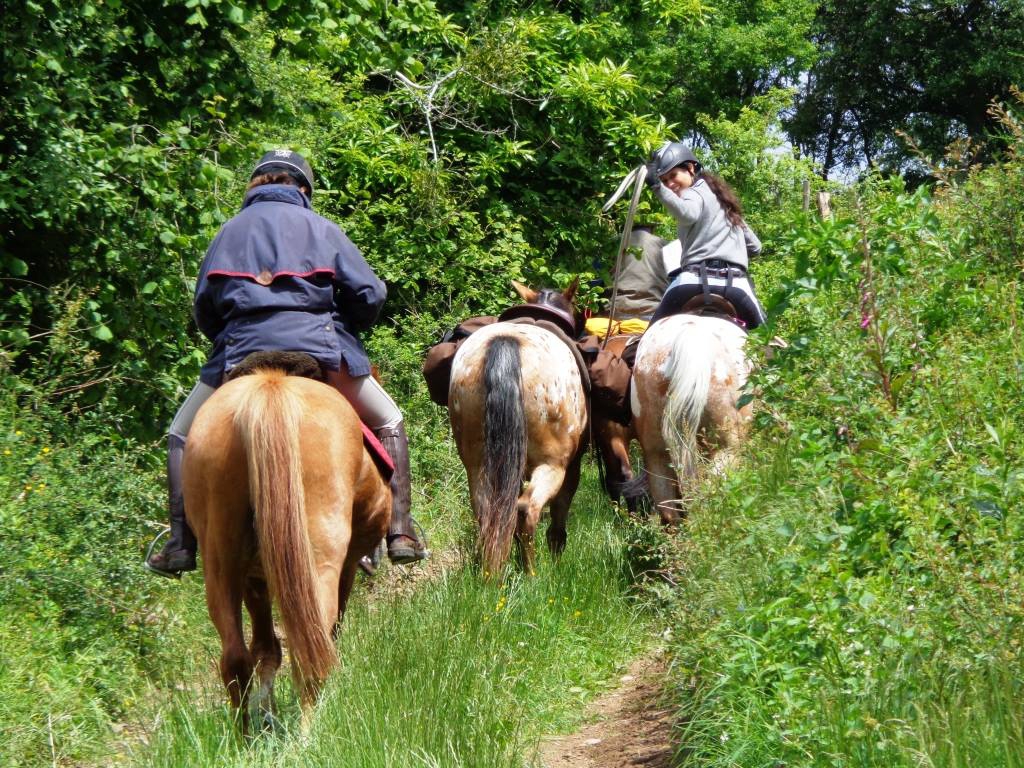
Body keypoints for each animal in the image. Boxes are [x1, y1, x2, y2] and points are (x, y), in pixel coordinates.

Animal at [182, 357, 391, 728]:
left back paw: (245, 737)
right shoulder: (348, 565)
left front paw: (268, 714)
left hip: (219, 556)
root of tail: (269, 390)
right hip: (320, 556)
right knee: (312, 646)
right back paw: (311, 731)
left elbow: (265, 649)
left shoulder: (254, 579)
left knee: (235, 658)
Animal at [448, 280, 588, 575]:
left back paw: (490, 571)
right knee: (526, 509)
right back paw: (531, 573)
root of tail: (506, 343)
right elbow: (559, 517)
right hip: (552, 464)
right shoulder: (572, 467)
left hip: (477, 464)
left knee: (489, 511)